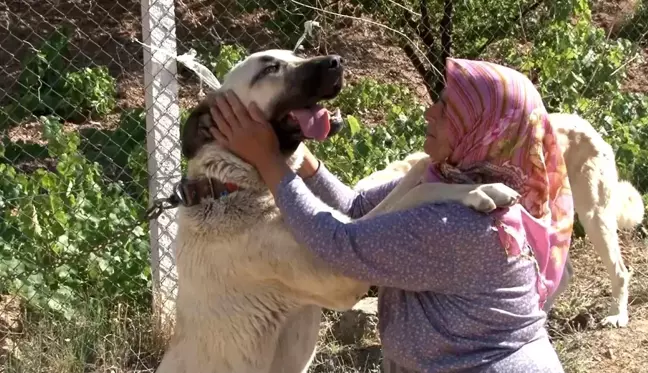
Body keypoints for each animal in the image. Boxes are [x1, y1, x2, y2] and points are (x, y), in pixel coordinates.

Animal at [356, 112, 644, 326]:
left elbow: (424, 191)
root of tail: (589, 127)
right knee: (563, 275)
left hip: (594, 217)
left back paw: (616, 315)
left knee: (620, 271)